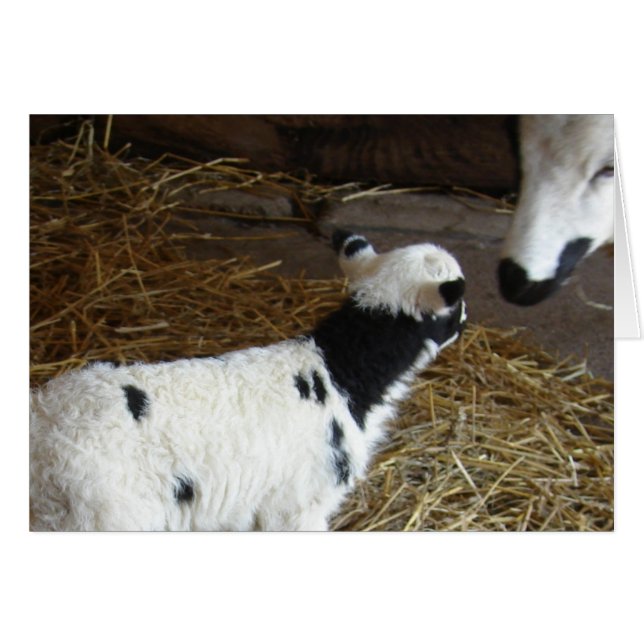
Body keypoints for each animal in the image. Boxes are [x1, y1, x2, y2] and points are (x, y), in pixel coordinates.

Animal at [29, 230, 466, 531]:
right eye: (458, 302)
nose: (465, 321)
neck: (343, 372)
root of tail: (43, 429)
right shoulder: (299, 505)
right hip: (105, 515)